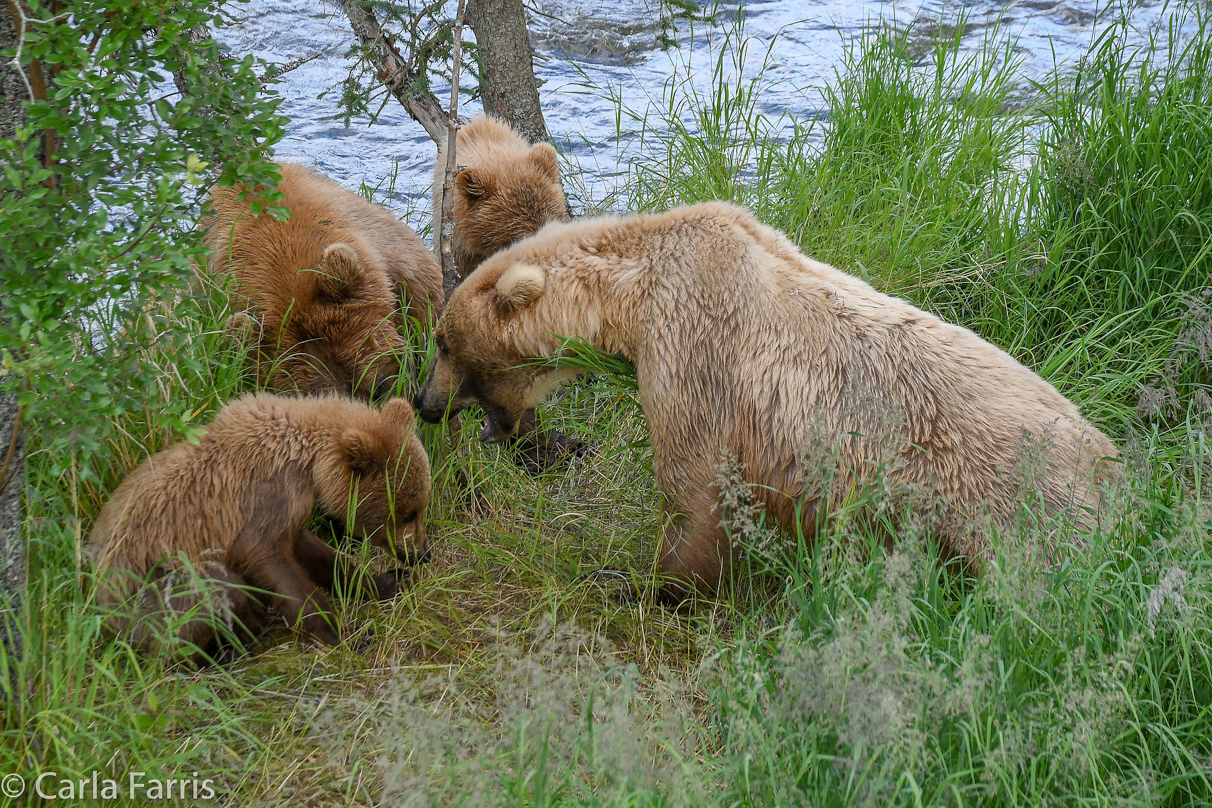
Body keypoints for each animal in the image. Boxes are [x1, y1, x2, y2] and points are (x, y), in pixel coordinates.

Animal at [88, 392, 431, 663]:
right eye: (408, 513)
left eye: (421, 506)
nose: (421, 554)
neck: (309, 462)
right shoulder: (261, 502)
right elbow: (271, 564)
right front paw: (342, 632)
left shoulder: (290, 511)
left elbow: (316, 554)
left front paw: (387, 580)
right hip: (146, 595)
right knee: (217, 590)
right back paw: (224, 650)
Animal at [416, 202, 1115, 600]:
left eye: (444, 342)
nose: (424, 402)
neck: (632, 297)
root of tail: (1108, 457)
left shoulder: (694, 347)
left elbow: (696, 488)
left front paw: (642, 582)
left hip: (1011, 504)